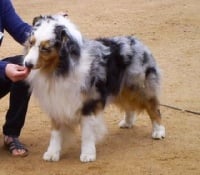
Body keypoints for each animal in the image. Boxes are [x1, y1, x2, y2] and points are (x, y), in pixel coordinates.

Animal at [23, 15, 165, 163]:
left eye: (45, 48)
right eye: (31, 43)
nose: (27, 64)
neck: (58, 69)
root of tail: (137, 42)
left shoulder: (89, 103)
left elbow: (87, 132)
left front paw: (88, 154)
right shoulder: (57, 103)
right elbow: (56, 133)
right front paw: (52, 153)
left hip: (139, 87)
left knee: (153, 107)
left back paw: (158, 131)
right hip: (121, 88)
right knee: (129, 106)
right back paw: (127, 122)